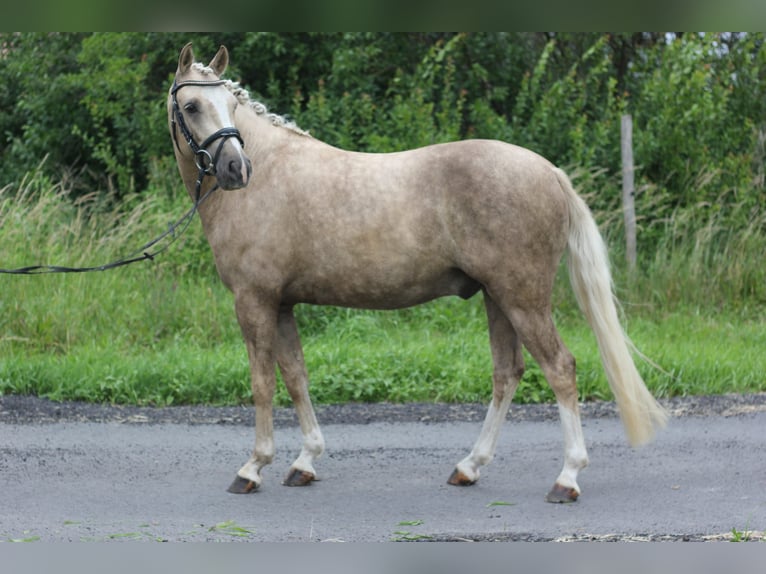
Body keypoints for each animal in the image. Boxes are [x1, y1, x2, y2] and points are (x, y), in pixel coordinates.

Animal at [170, 45, 672, 504]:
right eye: (192, 106)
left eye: (230, 104)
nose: (236, 169)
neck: (270, 173)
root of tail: (549, 171)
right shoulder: (282, 303)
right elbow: (296, 376)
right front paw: (305, 460)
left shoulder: (254, 300)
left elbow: (262, 383)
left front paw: (253, 467)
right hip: (498, 297)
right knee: (507, 372)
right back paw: (469, 466)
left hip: (523, 298)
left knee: (560, 369)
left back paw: (567, 476)